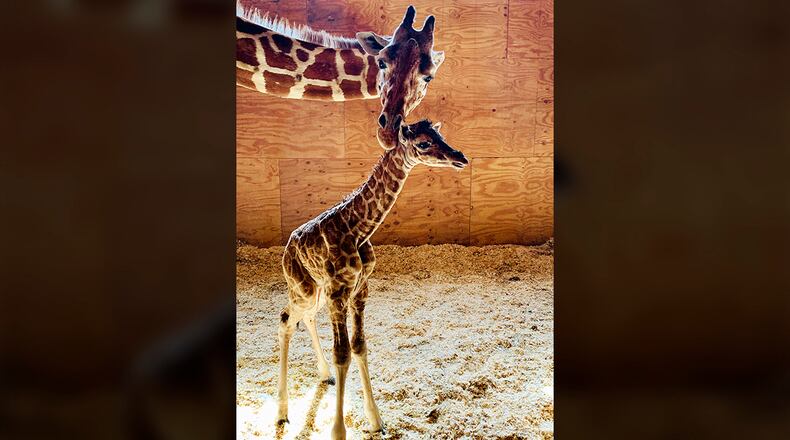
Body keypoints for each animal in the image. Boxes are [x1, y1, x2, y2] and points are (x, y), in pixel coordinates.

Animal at [277, 119, 467, 439]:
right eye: (424, 143)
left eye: (441, 134)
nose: (461, 157)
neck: (358, 229)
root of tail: (287, 248)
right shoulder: (338, 292)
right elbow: (342, 352)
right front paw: (338, 430)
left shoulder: (359, 291)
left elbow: (359, 346)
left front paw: (376, 420)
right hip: (304, 288)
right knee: (285, 320)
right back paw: (281, 413)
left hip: (316, 293)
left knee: (306, 318)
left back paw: (324, 375)